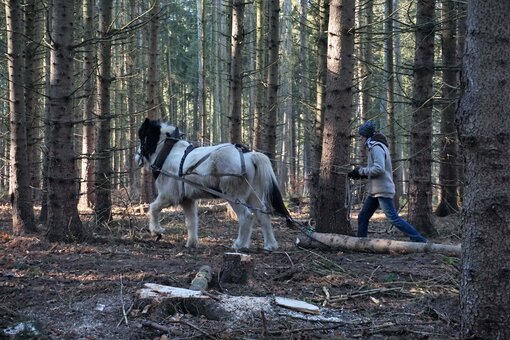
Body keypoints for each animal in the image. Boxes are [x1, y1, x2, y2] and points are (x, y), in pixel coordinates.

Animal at [135, 118, 290, 251]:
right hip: (253, 195)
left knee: (246, 216)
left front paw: (156, 231)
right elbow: (191, 222)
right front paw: (191, 243)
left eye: (142, 137)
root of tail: (248, 155)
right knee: (263, 215)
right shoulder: (187, 200)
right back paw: (270, 245)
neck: (169, 154)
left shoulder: (168, 195)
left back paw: (239, 244)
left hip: (234, 196)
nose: (136, 157)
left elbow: (153, 208)